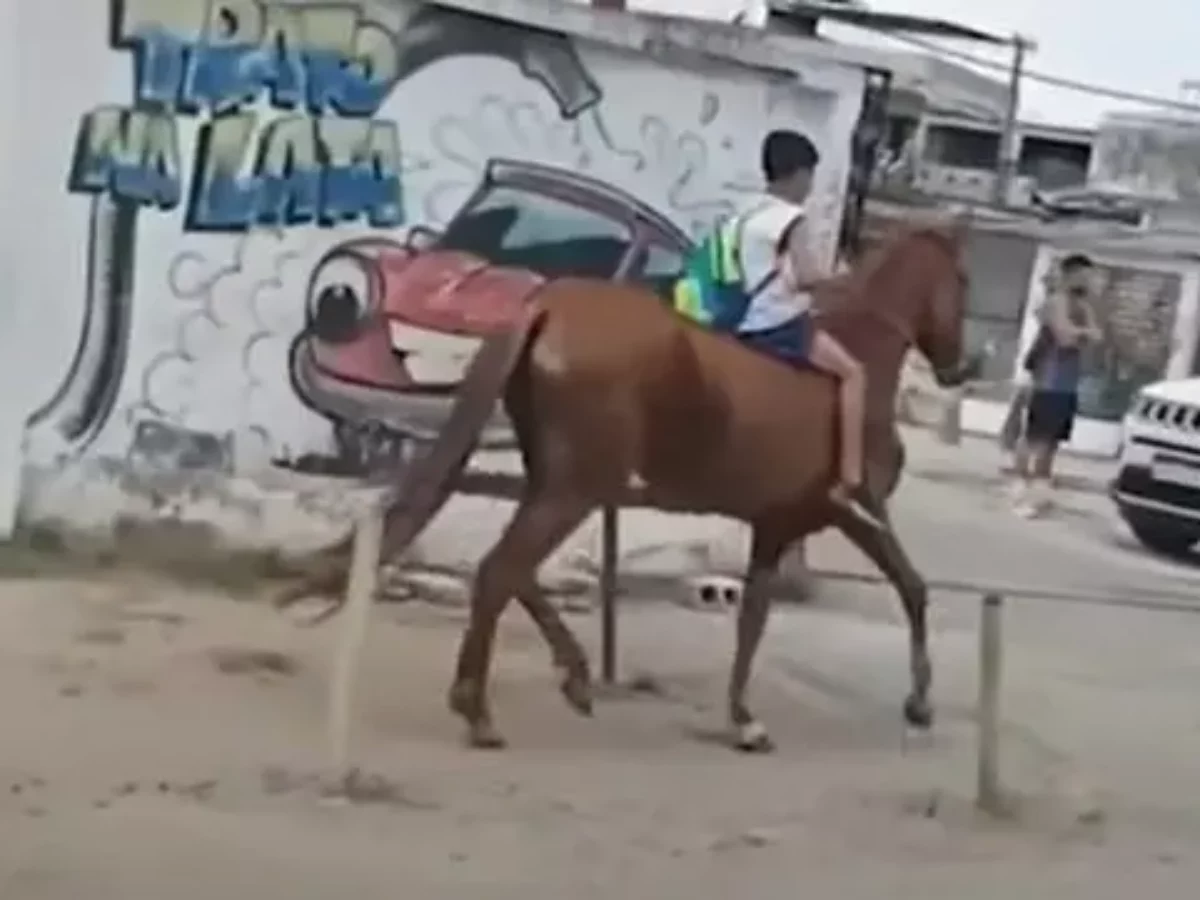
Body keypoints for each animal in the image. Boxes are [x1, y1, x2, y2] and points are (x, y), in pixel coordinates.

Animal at [285, 220, 969, 753]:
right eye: (962, 282)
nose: (964, 364)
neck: (858, 365)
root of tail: (548, 307)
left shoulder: (774, 526)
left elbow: (752, 618)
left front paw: (743, 720)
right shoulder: (855, 512)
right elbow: (913, 589)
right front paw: (919, 703)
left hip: (557, 482)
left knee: (513, 571)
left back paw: (571, 677)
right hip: (576, 489)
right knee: (502, 570)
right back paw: (480, 711)